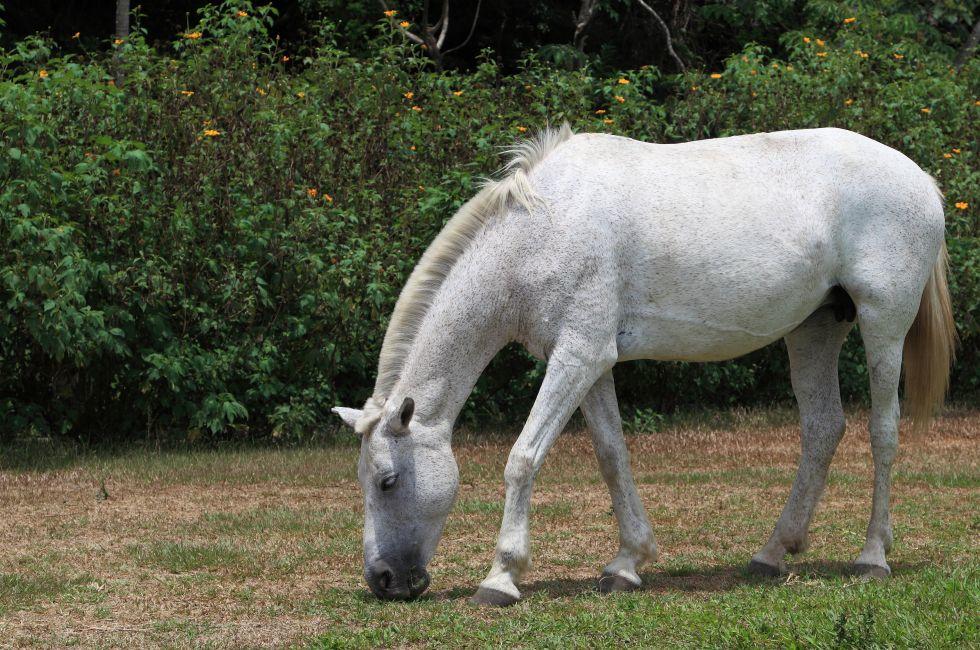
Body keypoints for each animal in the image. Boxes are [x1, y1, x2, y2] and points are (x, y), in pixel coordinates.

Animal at [334, 125, 952, 604]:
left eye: (388, 481)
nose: (383, 580)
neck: (541, 229)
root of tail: (921, 180)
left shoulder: (579, 355)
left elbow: (523, 457)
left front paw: (502, 576)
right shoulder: (589, 362)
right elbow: (612, 457)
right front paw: (627, 563)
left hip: (883, 325)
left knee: (882, 433)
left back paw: (872, 557)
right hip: (814, 331)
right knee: (823, 429)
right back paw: (772, 553)